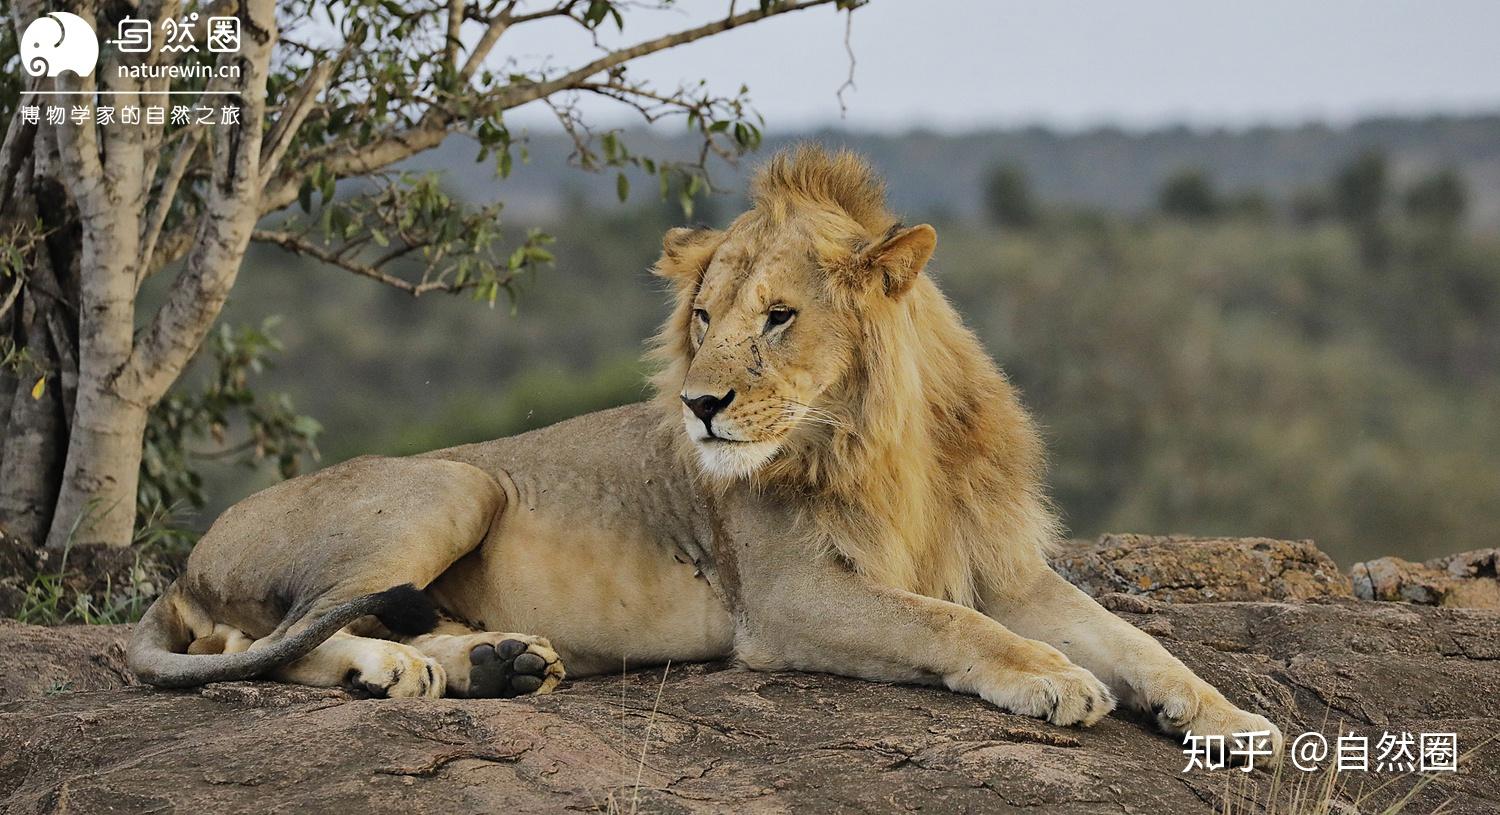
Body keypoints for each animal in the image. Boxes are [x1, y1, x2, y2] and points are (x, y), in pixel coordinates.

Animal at [126, 143, 1278, 762]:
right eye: (704, 316)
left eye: (778, 316)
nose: (699, 406)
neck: (885, 444)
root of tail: (186, 564)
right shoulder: (790, 600)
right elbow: (951, 623)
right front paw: (1051, 678)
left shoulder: (1004, 566)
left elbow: (1141, 643)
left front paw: (1239, 722)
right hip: (454, 481)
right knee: (271, 642)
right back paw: (407, 667)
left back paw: (495, 660)